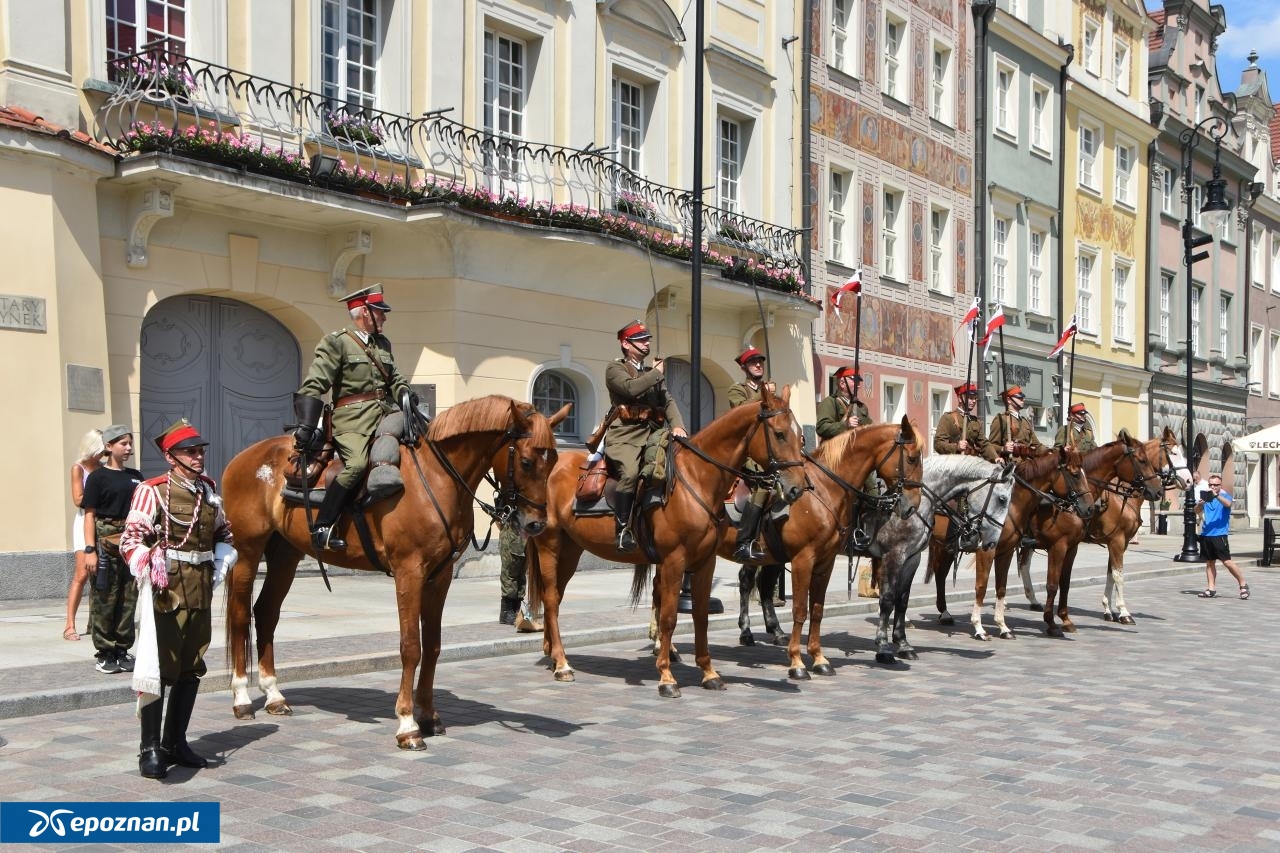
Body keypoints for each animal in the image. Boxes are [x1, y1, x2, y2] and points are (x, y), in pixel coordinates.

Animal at [222, 394, 568, 747]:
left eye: (553, 459)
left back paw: (274, 695)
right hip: (248, 551)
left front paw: (428, 715)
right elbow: (411, 647)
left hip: (285, 554)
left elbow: (433, 646)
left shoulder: (440, 577)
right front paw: (407, 723)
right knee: (240, 615)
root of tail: (245, 457)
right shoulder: (409, 573)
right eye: (526, 461)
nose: (536, 524)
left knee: (266, 613)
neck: (437, 477)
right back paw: (242, 698)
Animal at [527, 381, 798, 696]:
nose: (795, 488)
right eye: (779, 434)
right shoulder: (673, 560)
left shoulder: (705, 562)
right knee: (550, 598)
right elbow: (669, 617)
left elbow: (701, 616)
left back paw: (551, 652)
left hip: (571, 550)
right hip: (549, 544)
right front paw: (667, 676)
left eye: (800, 436)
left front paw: (709, 672)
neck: (697, 478)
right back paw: (561, 663)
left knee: (555, 598)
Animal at [716, 417, 926, 676]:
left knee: (763, 586)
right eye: (912, 458)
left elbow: (817, 610)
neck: (824, 490)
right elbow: (800, 609)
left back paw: (774, 632)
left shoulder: (826, 562)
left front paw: (818, 658)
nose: (912, 506)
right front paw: (796, 663)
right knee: (746, 583)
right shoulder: (803, 560)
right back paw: (744, 633)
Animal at [926, 445, 1095, 637]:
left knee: (940, 574)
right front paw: (979, 628)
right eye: (1075, 474)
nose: (1090, 508)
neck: (1012, 506)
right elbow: (982, 586)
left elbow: (1002, 587)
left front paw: (1003, 626)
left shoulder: (1006, 552)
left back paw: (945, 614)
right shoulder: (988, 550)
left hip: (944, 546)